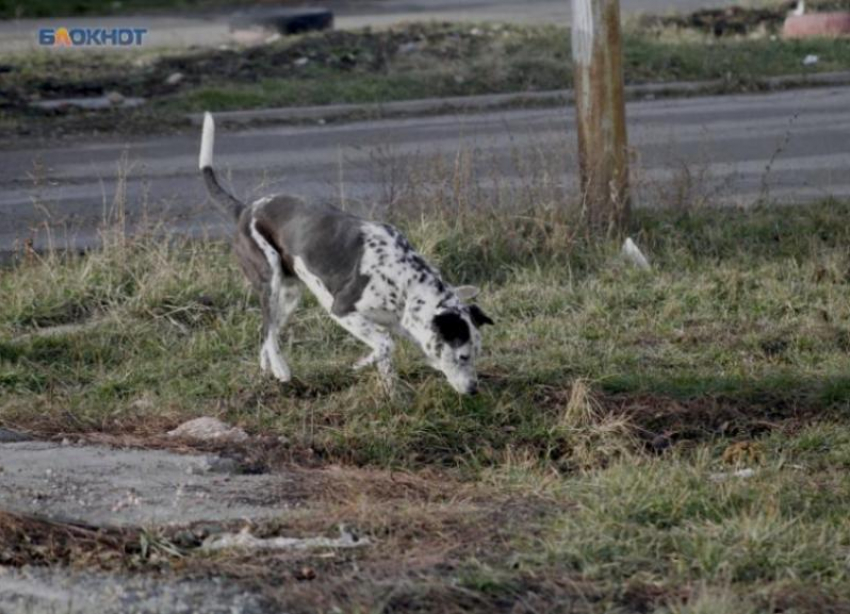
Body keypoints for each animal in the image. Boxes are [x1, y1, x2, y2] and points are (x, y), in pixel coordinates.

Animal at [198, 114, 490, 394]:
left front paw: (391, 392)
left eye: (477, 354)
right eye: (463, 356)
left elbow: (387, 355)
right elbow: (386, 344)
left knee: (266, 334)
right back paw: (281, 369)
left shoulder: (392, 322)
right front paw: (364, 364)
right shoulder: (342, 310)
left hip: (290, 295)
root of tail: (245, 209)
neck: (405, 283)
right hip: (269, 278)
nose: (474, 390)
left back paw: (267, 372)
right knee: (267, 329)